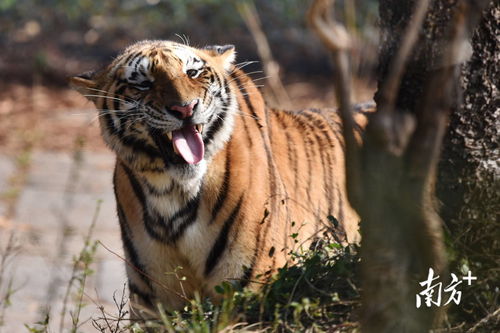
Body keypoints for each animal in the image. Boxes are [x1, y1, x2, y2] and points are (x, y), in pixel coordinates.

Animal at [68, 39, 370, 316]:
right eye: (143, 84)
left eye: (192, 72)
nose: (185, 109)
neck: (171, 191)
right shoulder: (154, 302)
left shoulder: (249, 290)